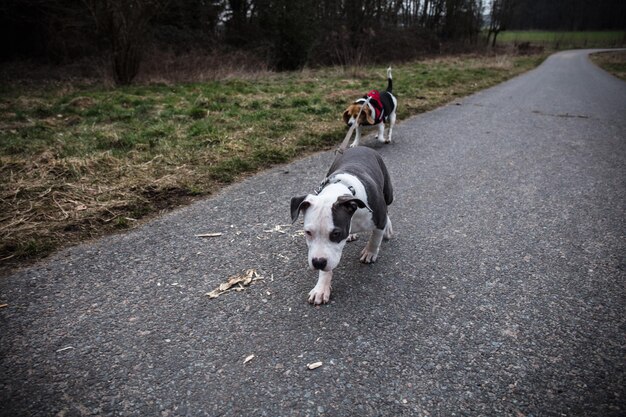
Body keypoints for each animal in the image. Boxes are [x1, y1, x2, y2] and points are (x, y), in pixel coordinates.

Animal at [290, 146, 392, 302]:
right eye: (308, 232)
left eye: (336, 233)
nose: (318, 263)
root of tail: (360, 147)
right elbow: (326, 269)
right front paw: (321, 288)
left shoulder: (379, 219)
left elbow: (375, 238)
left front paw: (370, 252)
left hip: (388, 192)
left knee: (388, 208)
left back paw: (388, 227)